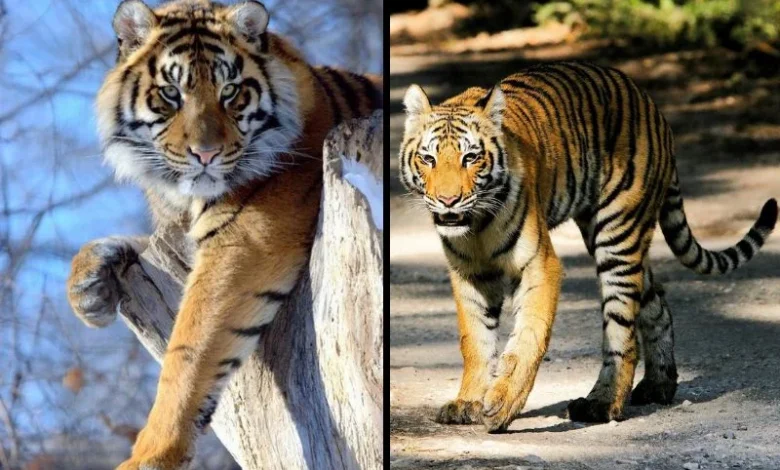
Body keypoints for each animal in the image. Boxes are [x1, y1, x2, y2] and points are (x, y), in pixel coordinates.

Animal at [65, 0, 382, 468]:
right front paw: (88, 288)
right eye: (170, 94)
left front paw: (152, 453)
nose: (206, 154)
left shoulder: (246, 238)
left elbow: (189, 349)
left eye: (231, 92)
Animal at [398, 61, 777, 433]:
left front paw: (503, 405)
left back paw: (603, 403)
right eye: (429, 159)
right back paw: (659, 385)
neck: (475, 225)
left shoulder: (538, 264)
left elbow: (528, 337)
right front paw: (468, 402)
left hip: (618, 235)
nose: (448, 201)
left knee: (622, 333)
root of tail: (649, 102)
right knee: (656, 302)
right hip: (619, 240)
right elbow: (475, 340)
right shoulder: (470, 273)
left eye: (471, 158)